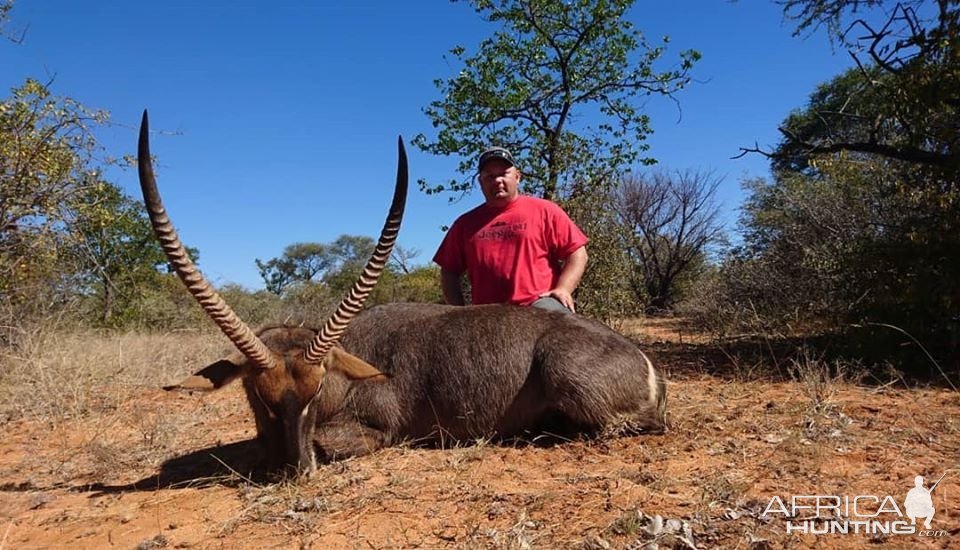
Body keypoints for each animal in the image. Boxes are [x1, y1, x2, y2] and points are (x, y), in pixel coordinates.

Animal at [141, 112, 668, 478]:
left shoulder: (376, 428)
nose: (296, 470)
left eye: (315, 390)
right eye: (259, 394)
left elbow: (332, 443)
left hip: (568, 378)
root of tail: (645, 363)